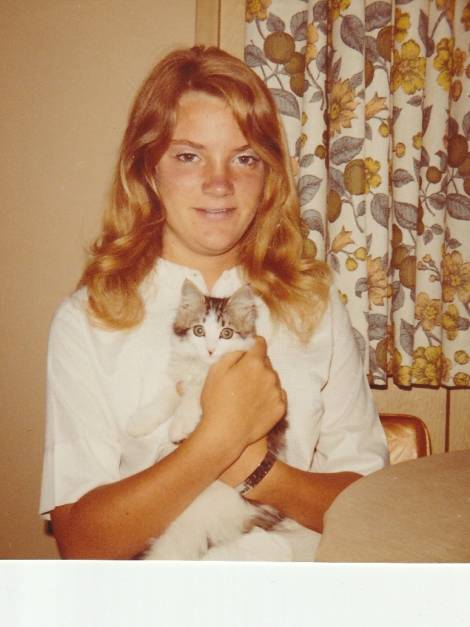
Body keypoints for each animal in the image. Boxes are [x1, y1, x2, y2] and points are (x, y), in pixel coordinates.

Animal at [127, 278, 286, 560]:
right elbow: (168, 396)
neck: (203, 366)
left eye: (227, 333)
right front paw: (140, 421)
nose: (211, 350)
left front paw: (180, 425)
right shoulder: (180, 378)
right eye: (199, 331)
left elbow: (195, 394)